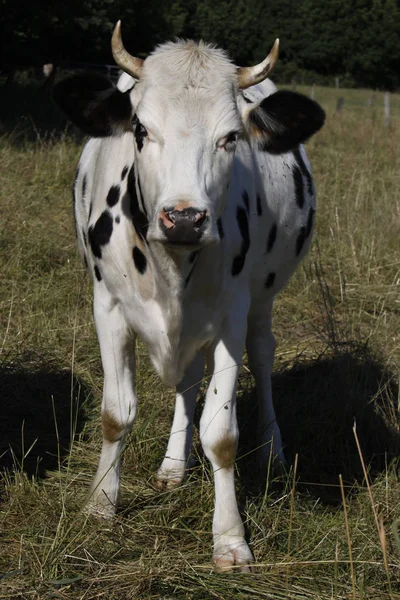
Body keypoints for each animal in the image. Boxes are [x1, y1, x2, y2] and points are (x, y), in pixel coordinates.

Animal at [53, 22, 324, 572]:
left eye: (231, 137)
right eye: (140, 130)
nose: (183, 218)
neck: (170, 269)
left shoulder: (231, 316)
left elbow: (221, 435)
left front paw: (230, 539)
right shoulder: (107, 306)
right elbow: (117, 413)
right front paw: (101, 503)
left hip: (263, 300)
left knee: (263, 355)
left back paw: (273, 450)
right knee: (187, 379)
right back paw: (174, 466)